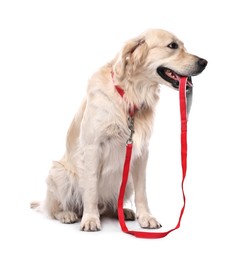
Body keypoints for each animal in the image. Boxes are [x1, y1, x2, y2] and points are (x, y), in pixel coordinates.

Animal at [31, 29, 207, 232]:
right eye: (172, 46)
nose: (204, 62)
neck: (130, 95)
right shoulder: (92, 147)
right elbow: (90, 188)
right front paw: (90, 219)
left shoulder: (142, 152)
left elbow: (142, 191)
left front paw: (146, 217)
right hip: (59, 173)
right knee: (53, 207)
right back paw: (67, 214)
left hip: (126, 178)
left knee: (110, 205)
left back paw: (122, 211)